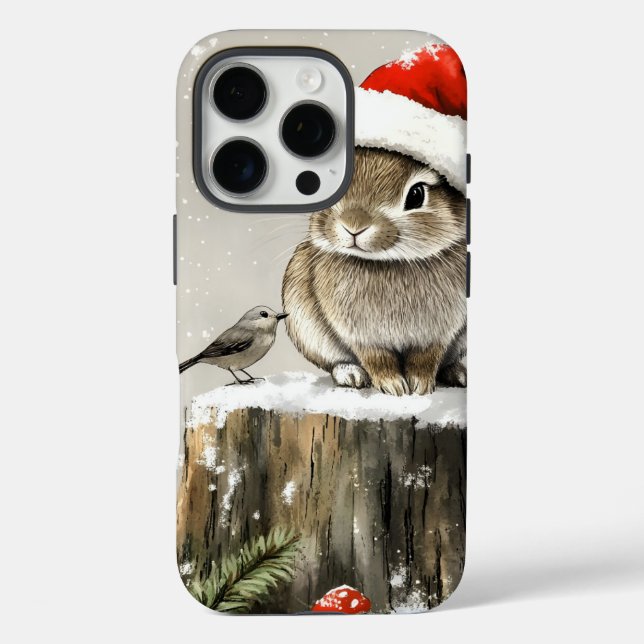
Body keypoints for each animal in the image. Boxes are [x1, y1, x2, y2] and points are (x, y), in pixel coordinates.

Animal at [282, 147, 467, 396]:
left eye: (416, 195)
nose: (354, 226)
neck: (388, 262)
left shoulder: (436, 334)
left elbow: (425, 359)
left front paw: (420, 386)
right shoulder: (361, 335)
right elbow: (377, 358)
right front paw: (394, 386)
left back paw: (459, 374)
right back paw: (351, 375)